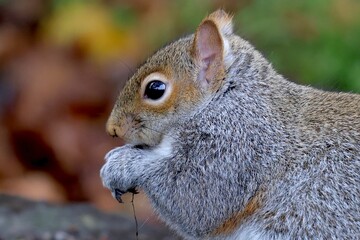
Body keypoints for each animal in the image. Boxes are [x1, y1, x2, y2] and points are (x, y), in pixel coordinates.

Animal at [100, 9, 360, 240]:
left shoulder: (237, 147)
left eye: (155, 89)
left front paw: (121, 164)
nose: (112, 128)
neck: (224, 100)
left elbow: (196, 199)